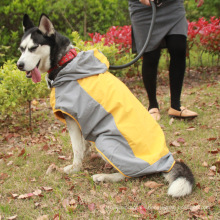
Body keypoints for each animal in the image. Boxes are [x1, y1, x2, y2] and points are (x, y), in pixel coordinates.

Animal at [18, 14, 195, 198]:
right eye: (21, 49)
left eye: (33, 48)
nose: (19, 65)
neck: (65, 62)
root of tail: (166, 161)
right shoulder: (81, 119)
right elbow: (83, 144)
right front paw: (85, 155)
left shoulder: (71, 119)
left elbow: (76, 148)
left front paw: (74, 168)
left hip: (104, 141)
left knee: (129, 175)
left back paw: (103, 177)